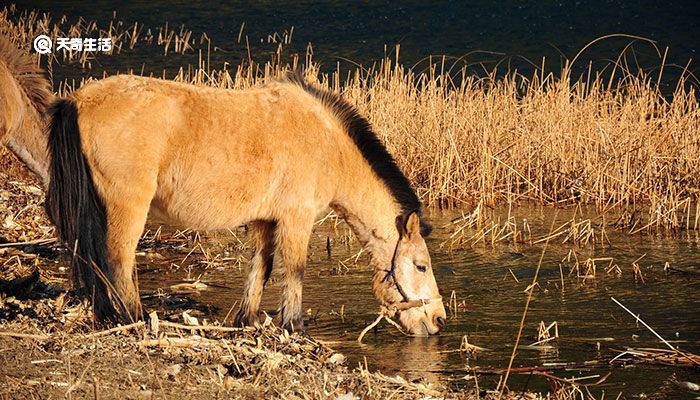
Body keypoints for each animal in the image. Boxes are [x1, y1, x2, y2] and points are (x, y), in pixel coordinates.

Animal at [1, 39, 448, 336]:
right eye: (421, 266)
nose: (438, 319)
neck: (325, 140)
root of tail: (78, 101)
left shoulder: (266, 220)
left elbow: (260, 269)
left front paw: (246, 320)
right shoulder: (297, 219)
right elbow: (295, 271)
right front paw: (295, 327)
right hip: (127, 206)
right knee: (117, 259)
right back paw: (133, 318)